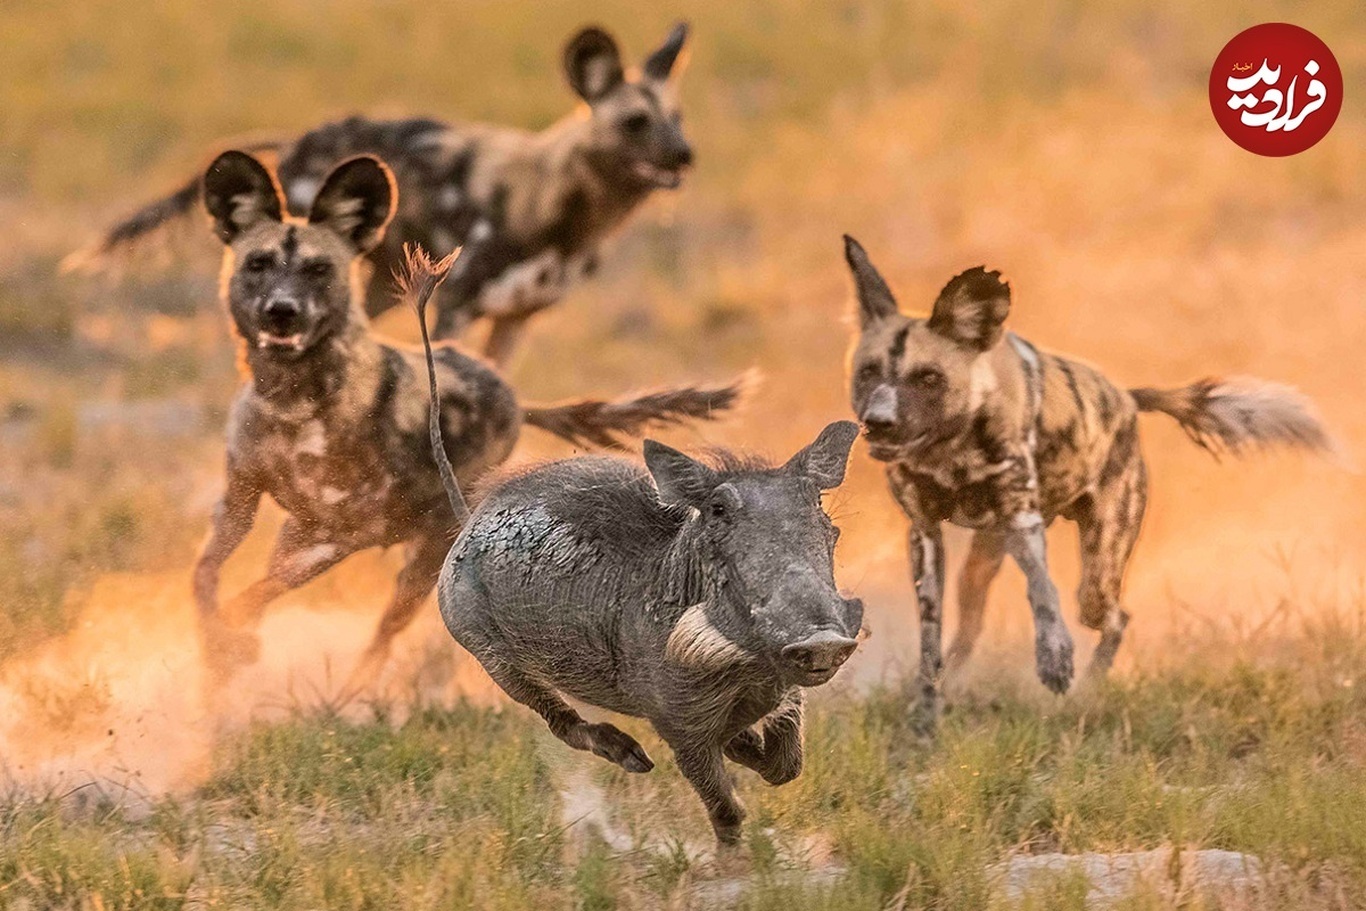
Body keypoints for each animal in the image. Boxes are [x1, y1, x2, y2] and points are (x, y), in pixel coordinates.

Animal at [67, 22, 693, 363]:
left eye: (679, 118)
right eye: (636, 123)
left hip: (379, 287)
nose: (686, 155)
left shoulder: (517, 319)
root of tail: (295, 141)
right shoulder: (457, 307)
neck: (565, 211)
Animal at [191, 151, 737, 691]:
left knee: (382, 638)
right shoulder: (240, 502)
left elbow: (248, 599)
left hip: (424, 556)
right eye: (258, 264)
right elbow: (207, 579)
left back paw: (350, 697)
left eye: (318, 269)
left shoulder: (350, 532)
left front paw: (231, 645)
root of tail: (514, 396)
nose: (282, 312)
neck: (291, 402)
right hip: (301, 533)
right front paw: (219, 652)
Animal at [841, 237, 1333, 732]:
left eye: (928, 378)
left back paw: (1089, 692)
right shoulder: (925, 535)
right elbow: (931, 639)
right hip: (981, 564)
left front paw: (1055, 659)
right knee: (969, 626)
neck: (950, 450)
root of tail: (1127, 399)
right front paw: (924, 712)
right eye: (868, 373)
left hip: (1094, 577)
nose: (878, 423)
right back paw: (958, 686)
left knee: (1114, 617)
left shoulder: (1022, 520)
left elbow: (1043, 592)